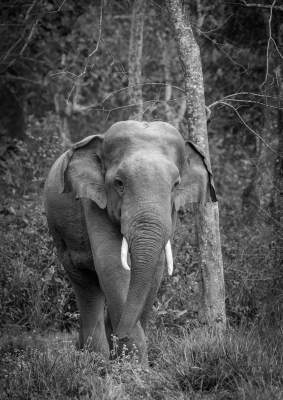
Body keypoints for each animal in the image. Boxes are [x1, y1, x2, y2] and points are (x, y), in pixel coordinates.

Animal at [44, 120, 216, 360]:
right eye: (119, 183)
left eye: (175, 185)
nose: (119, 334)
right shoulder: (94, 202)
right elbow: (112, 264)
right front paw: (132, 363)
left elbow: (155, 270)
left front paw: (127, 357)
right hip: (61, 239)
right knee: (86, 286)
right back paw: (96, 358)